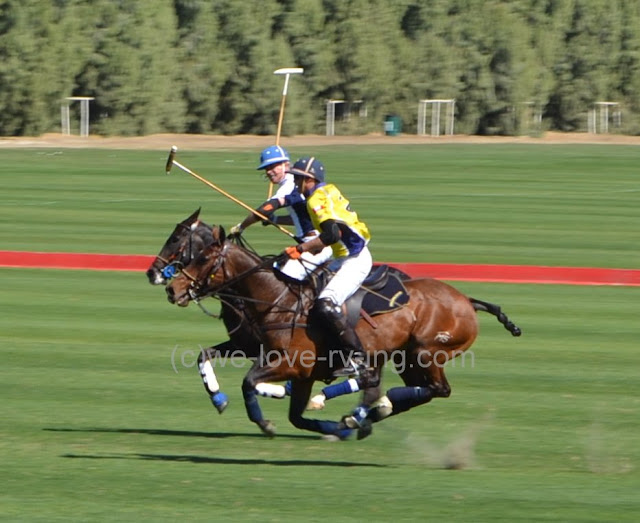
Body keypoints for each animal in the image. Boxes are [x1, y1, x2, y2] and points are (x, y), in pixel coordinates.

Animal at [165, 227, 520, 440]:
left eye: (202, 257)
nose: (171, 287)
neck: (275, 300)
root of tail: (467, 301)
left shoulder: (288, 364)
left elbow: (248, 381)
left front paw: (264, 423)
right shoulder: (292, 368)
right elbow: (295, 415)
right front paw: (337, 426)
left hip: (427, 353)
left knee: (435, 389)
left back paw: (370, 409)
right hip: (405, 358)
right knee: (410, 389)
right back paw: (367, 414)